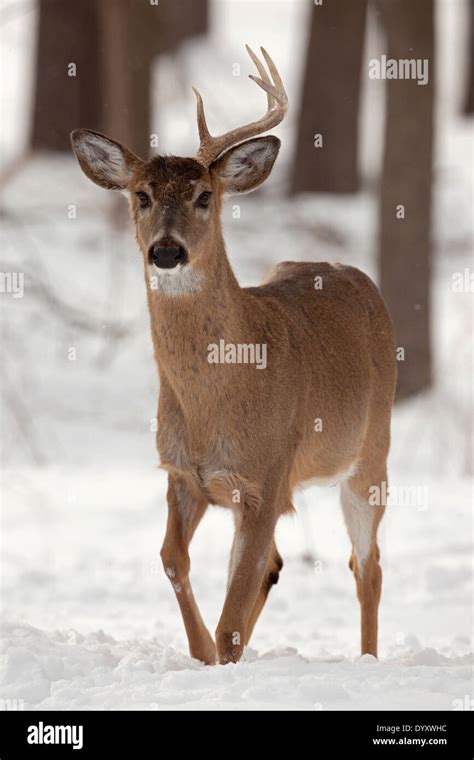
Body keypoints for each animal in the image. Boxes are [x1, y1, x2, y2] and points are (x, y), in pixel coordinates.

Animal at [70, 47, 396, 664]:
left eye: (204, 196)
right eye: (141, 195)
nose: (166, 251)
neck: (215, 401)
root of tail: (358, 276)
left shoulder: (268, 478)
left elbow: (232, 611)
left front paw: (217, 656)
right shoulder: (183, 474)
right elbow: (173, 561)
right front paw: (201, 655)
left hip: (371, 453)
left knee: (366, 566)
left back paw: (368, 659)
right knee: (275, 565)